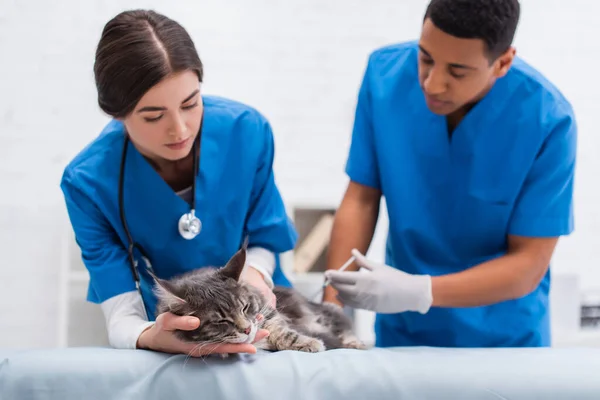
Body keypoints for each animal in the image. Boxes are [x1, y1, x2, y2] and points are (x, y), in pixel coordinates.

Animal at [150, 244, 366, 354]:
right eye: (220, 321)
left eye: (245, 307)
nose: (246, 329)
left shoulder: (269, 312)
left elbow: (284, 333)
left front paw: (310, 343)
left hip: (323, 313)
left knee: (342, 324)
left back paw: (355, 343)